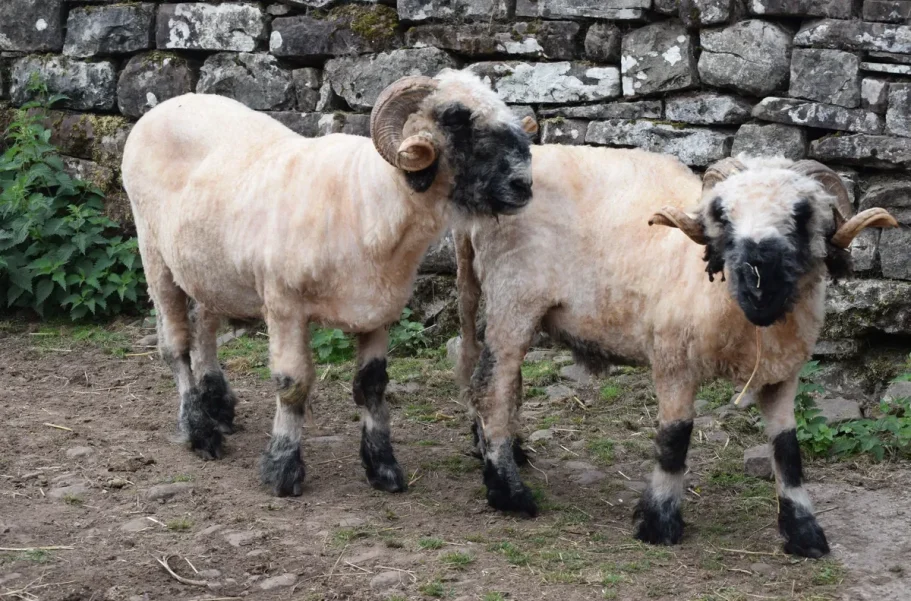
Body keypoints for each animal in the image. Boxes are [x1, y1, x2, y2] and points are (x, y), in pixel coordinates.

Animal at [121, 70, 537, 497]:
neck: (363, 199)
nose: (523, 185)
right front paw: (283, 469)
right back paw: (200, 431)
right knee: (175, 346)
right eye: (455, 118)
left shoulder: (377, 310)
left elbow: (371, 385)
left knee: (204, 324)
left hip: (208, 265)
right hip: (153, 251)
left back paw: (218, 407)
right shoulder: (283, 305)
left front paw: (383, 467)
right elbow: (292, 385)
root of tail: (167, 105)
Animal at [454, 148, 897, 557]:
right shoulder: (673, 360)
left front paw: (804, 532)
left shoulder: (783, 373)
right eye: (721, 213)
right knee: (492, 388)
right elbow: (674, 440)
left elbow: (788, 451)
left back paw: (504, 452)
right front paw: (660, 522)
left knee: (495, 379)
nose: (758, 280)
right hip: (514, 295)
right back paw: (509, 493)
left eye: (802, 212)